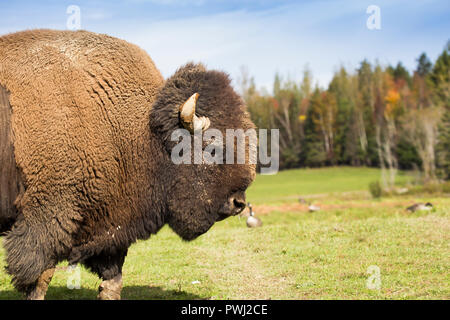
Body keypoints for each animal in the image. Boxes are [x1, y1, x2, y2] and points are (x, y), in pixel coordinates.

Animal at [0, 30, 255, 300]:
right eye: (212, 147)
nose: (238, 203)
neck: (142, 132)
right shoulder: (45, 222)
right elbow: (39, 279)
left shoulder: (110, 229)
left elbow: (113, 280)